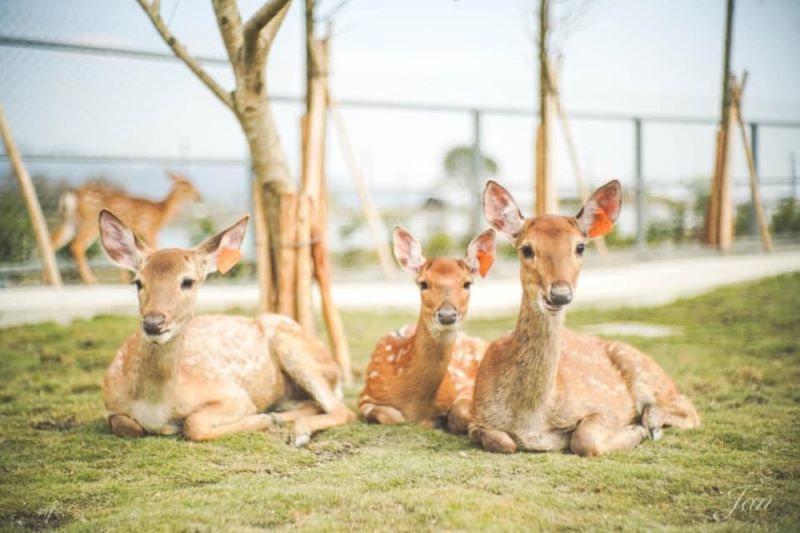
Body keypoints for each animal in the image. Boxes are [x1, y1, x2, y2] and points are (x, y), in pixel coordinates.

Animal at [51, 172, 202, 284]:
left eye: (192, 184)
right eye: (186, 186)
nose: (199, 197)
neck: (160, 212)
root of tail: (71, 196)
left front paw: (124, 280)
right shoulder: (149, 230)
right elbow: (154, 250)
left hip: (71, 221)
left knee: (54, 241)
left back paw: (51, 280)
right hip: (90, 221)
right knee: (77, 245)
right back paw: (90, 280)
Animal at [97, 210, 354, 442]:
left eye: (188, 281)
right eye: (138, 282)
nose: (153, 323)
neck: (155, 405)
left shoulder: (232, 394)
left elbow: (194, 424)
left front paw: (263, 419)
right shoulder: (109, 404)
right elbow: (126, 425)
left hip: (293, 346)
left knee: (342, 409)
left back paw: (296, 431)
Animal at [360, 224, 496, 432]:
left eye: (467, 284)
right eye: (423, 283)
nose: (447, 315)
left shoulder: (465, 385)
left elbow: (459, 413)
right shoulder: (365, 396)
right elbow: (391, 415)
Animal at [468, 181, 700, 456]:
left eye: (580, 247)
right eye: (526, 249)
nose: (560, 294)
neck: (532, 419)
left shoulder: (605, 407)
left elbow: (584, 438)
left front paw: (635, 430)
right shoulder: (476, 418)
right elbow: (503, 442)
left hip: (642, 367)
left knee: (690, 411)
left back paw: (650, 422)